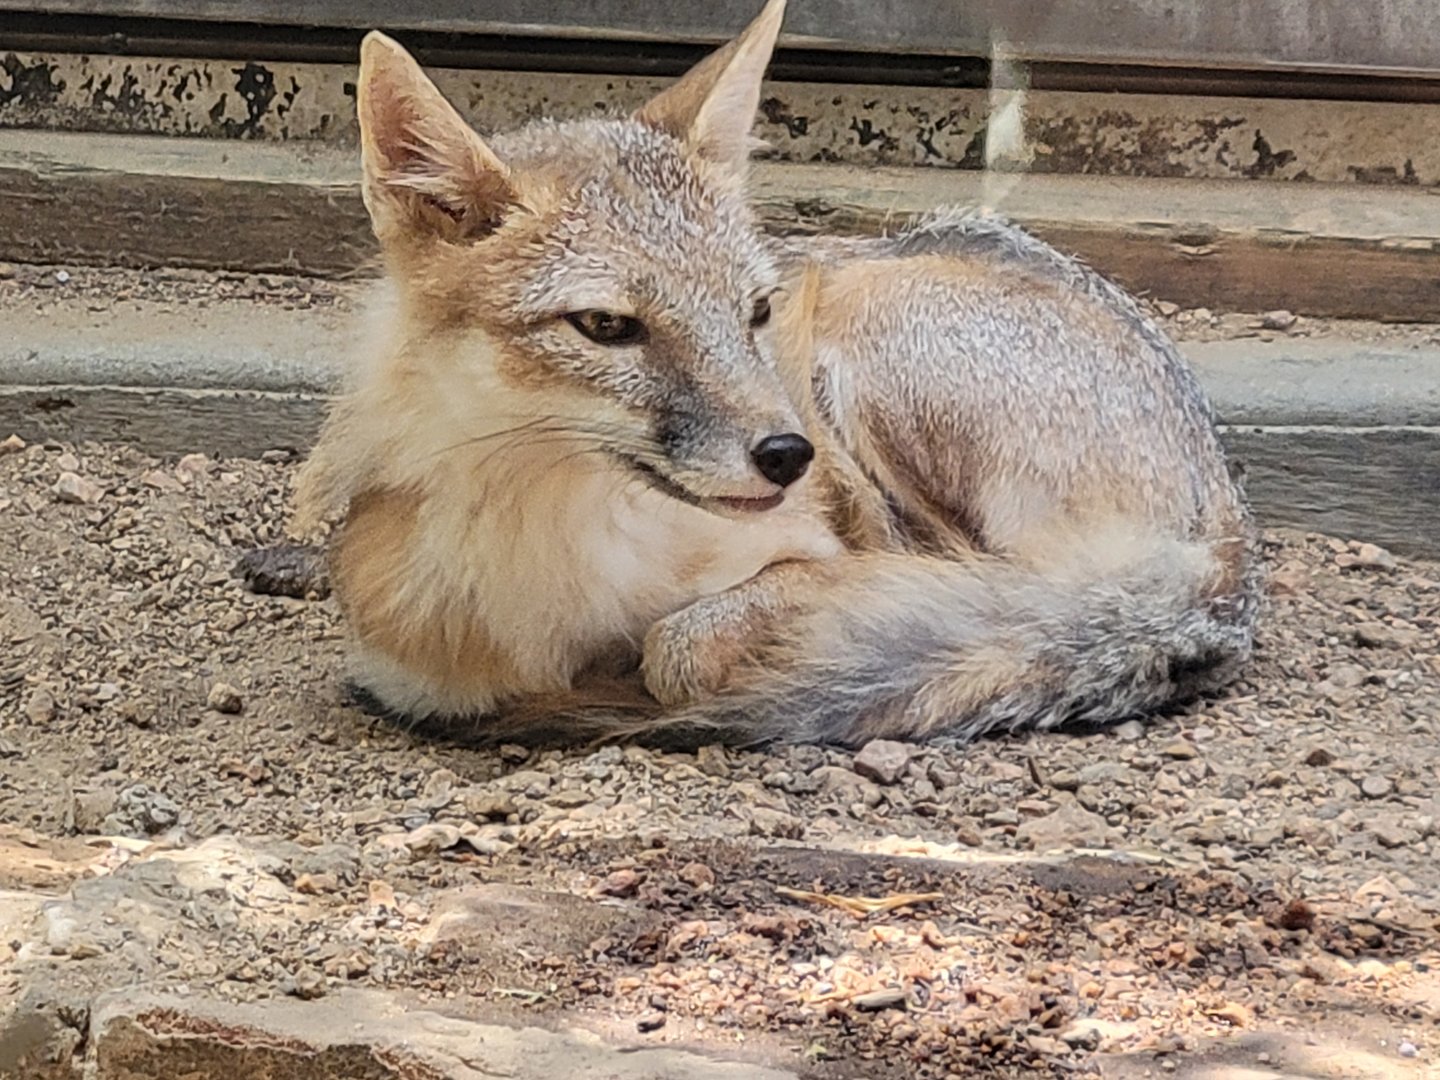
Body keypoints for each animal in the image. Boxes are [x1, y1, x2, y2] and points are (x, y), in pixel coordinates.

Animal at [291, 0, 1261, 747]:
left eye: (756, 311)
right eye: (606, 327)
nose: (790, 454)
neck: (564, 562)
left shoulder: (823, 550)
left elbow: (682, 648)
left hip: (867, 345)